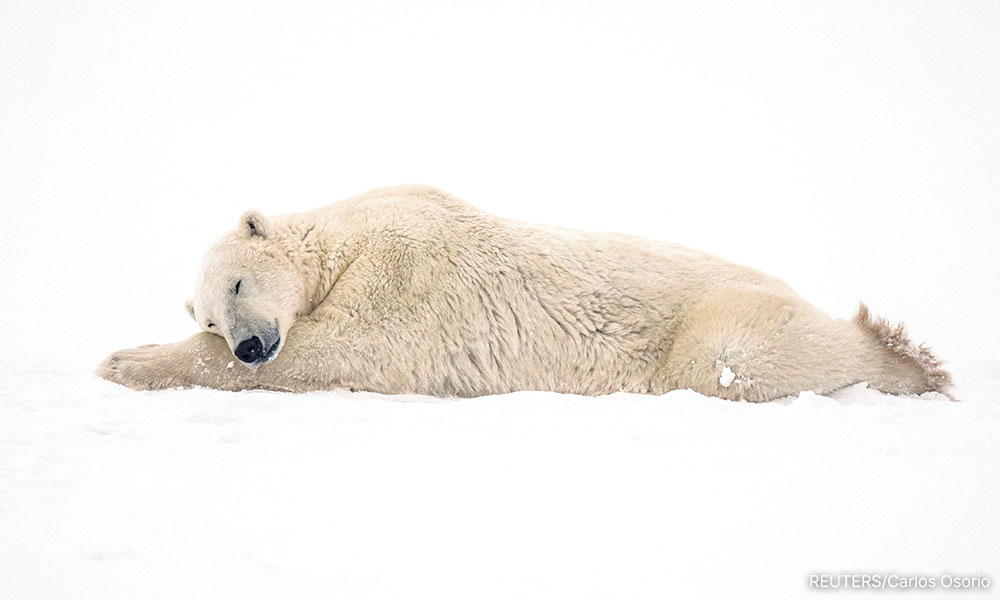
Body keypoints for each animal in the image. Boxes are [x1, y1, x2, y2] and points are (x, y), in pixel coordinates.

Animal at [97, 184, 952, 401]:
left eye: (239, 283)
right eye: (214, 316)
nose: (247, 343)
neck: (351, 232)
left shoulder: (409, 267)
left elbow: (347, 344)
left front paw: (124, 359)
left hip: (717, 316)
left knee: (736, 357)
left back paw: (901, 355)